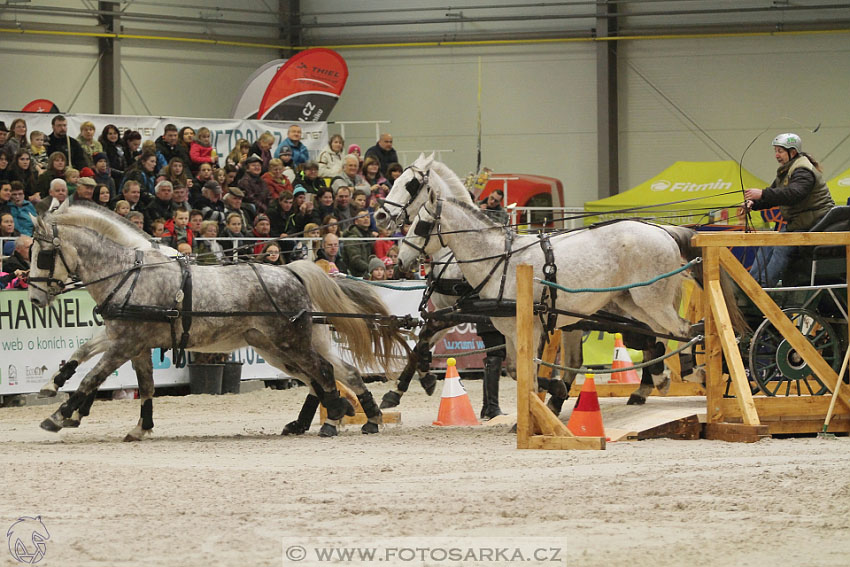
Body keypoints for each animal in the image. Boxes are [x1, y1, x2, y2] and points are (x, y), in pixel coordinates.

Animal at [28, 200, 406, 440]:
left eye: (44, 255)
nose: (33, 298)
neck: (129, 274)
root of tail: (291, 272)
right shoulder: (131, 342)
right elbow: (127, 376)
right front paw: (138, 426)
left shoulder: (126, 342)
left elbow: (92, 378)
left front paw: (58, 415)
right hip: (274, 348)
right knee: (329, 375)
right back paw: (348, 416)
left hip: (291, 343)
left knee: (325, 373)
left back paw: (338, 415)